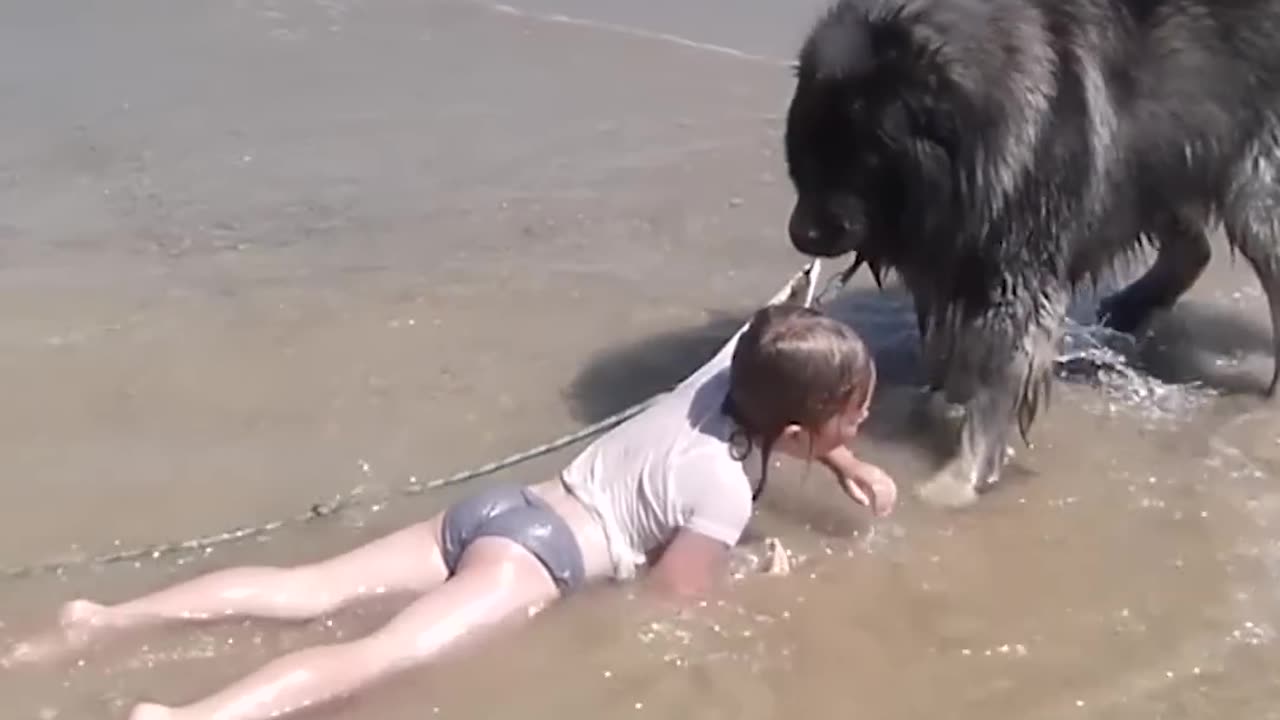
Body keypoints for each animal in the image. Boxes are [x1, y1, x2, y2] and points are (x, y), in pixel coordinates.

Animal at [778, 0, 1280, 504]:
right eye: (804, 149)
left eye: (859, 156)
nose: (800, 235)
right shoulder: (950, 257)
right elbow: (948, 351)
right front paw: (936, 404)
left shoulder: (1018, 274)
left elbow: (994, 380)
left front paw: (957, 481)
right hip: (1159, 156)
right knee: (1192, 247)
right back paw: (1132, 306)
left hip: (1254, 194)